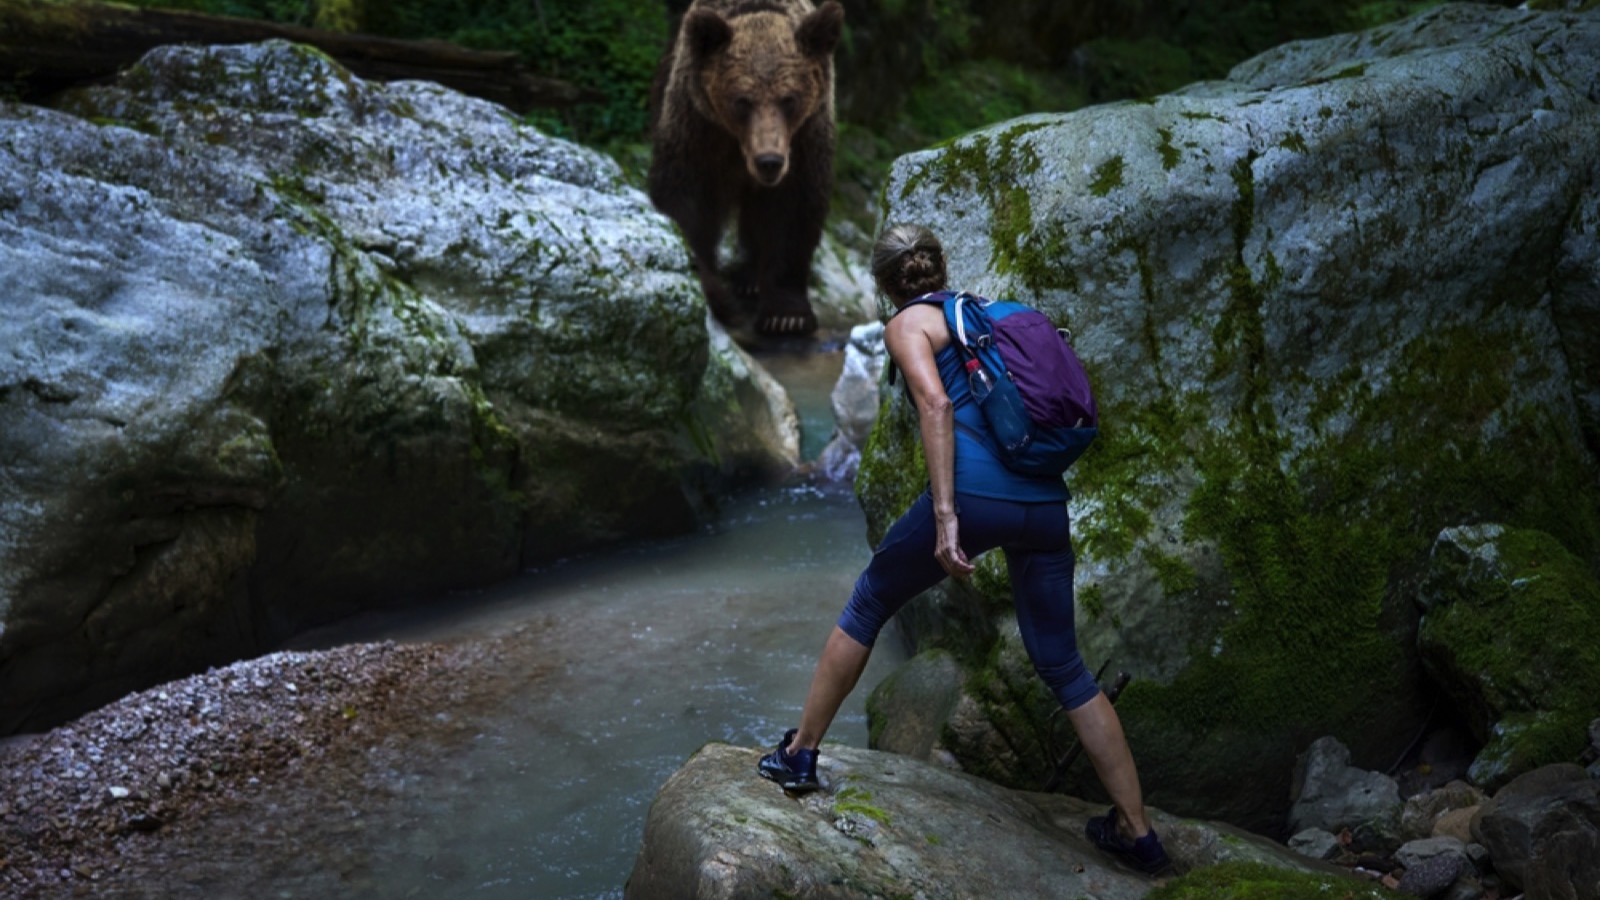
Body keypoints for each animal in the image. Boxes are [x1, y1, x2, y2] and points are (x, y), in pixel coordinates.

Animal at [643, 0, 844, 336]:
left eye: (789, 99)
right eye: (742, 100)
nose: (769, 161)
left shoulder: (804, 138)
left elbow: (792, 210)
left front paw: (786, 316)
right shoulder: (698, 127)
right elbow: (686, 199)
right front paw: (713, 291)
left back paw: (750, 279)